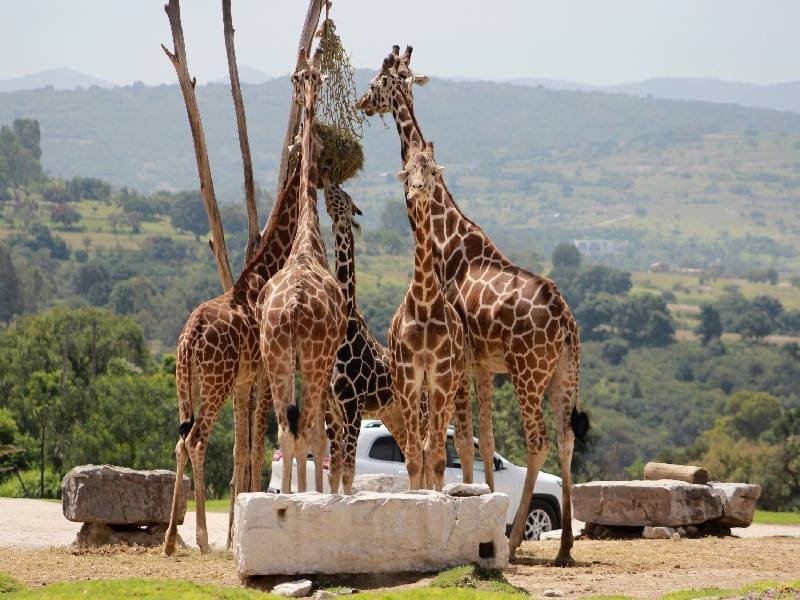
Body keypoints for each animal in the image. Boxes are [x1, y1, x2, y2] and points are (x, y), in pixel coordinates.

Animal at [161, 158, 302, 552]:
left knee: (180, 441)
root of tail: (191, 336)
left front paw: (238, 525)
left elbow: (241, 450)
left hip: (187, 385)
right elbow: (256, 449)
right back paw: (203, 539)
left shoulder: (243, 381)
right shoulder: (264, 374)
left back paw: (170, 539)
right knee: (196, 440)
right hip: (215, 383)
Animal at [318, 173, 406, 492]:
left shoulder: (352, 407)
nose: (327, 179)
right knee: (414, 457)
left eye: (344, 197)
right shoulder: (332, 410)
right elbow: (333, 473)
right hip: (393, 414)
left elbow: (349, 472)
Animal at [356, 45, 588, 564]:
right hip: (565, 372)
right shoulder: (481, 364)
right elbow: (481, 441)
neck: (448, 236)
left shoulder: (460, 362)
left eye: (378, 81)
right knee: (566, 438)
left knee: (539, 439)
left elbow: (460, 439)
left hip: (528, 371)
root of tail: (565, 320)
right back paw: (563, 547)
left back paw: (519, 539)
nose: (361, 103)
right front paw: (475, 506)